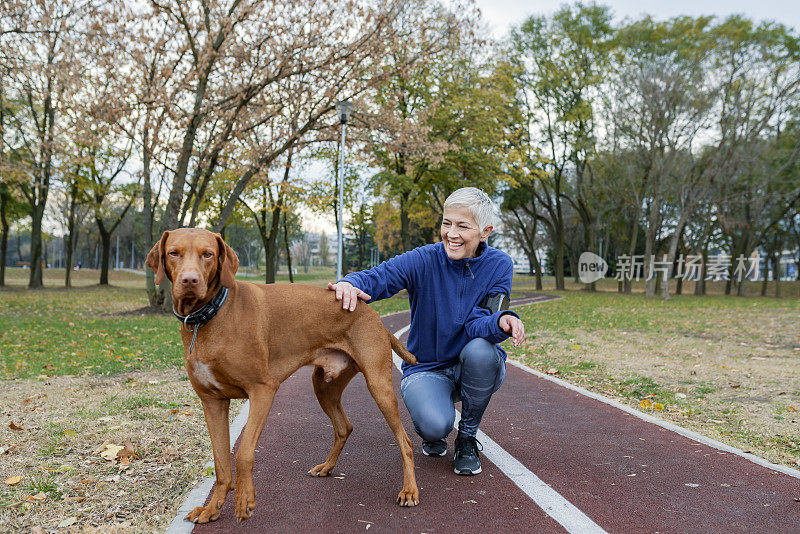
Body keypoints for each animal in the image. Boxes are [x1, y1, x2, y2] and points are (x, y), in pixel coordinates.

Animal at [145, 228, 418, 524]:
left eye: (208, 254)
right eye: (174, 253)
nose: (190, 280)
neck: (210, 317)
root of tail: (372, 314)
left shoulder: (263, 389)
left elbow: (243, 453)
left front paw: (245, 500)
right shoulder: (212, 402)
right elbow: (221, 462)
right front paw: (213, 508)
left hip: (379, 386)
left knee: (405, 441)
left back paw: (409, 491)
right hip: (323, 386)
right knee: (344, 427)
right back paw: (327, 466)